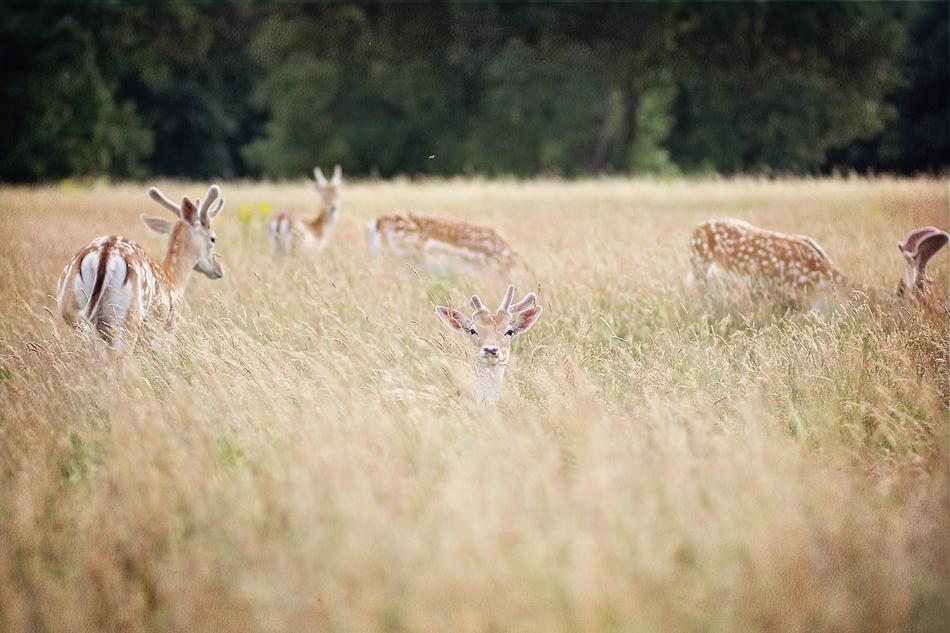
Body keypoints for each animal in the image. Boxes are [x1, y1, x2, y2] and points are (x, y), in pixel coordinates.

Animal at [57, 184, 226, 347]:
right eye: (213, 239)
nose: (219, 269)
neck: (173, 281)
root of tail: (105, 252)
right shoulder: (166, 330)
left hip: (71, 308)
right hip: (127, 318)